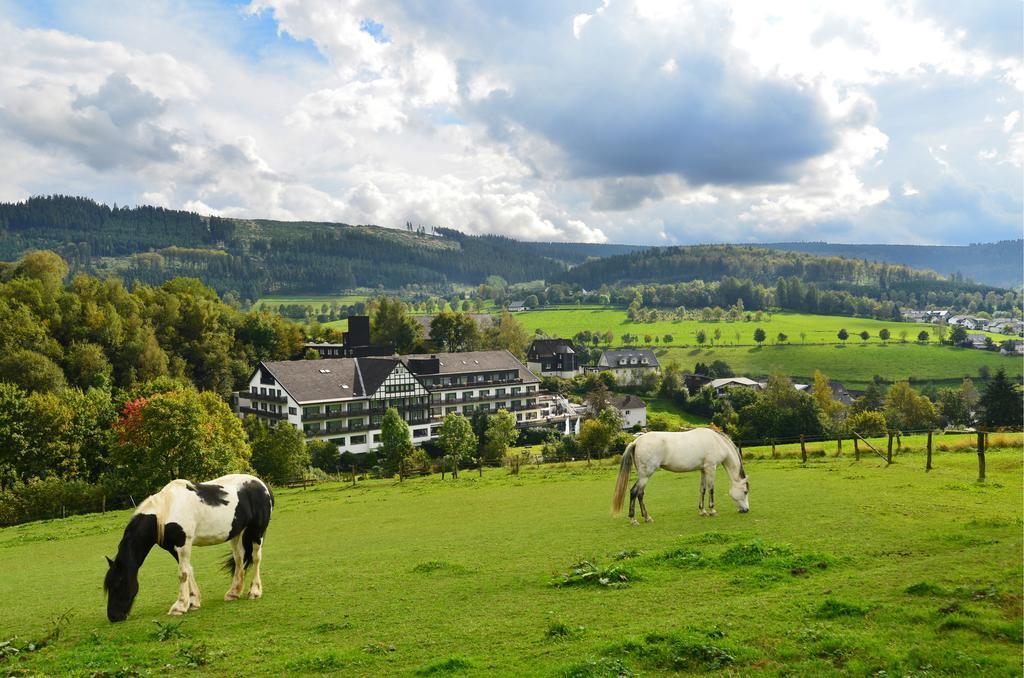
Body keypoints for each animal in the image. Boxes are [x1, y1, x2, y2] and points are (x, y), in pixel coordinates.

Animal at [103, 475, 274, 622]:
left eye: (119, 584)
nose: (113, 616)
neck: (165, 510)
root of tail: (263, 485)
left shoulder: (183, 544)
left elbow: (183, 573)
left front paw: (179, 606)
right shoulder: (174, 548)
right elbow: (188, 570)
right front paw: (193, 602)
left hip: (257, 531)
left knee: (256, 558)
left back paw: (255, 591)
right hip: (237, 533)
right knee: (239, 559)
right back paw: (233, 593)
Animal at [610, 430, 749, 524]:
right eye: (745, 491)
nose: (746, 510)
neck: (717, 442)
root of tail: (636, 442)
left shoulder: (703, 470)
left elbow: (703, 489)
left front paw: (702, 511)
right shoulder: (711, 468)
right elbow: (711, 490)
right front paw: (712, 511)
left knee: (639, 494)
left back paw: (646, 517)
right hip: (645, 476)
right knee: (635, 492)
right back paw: (634, 519)